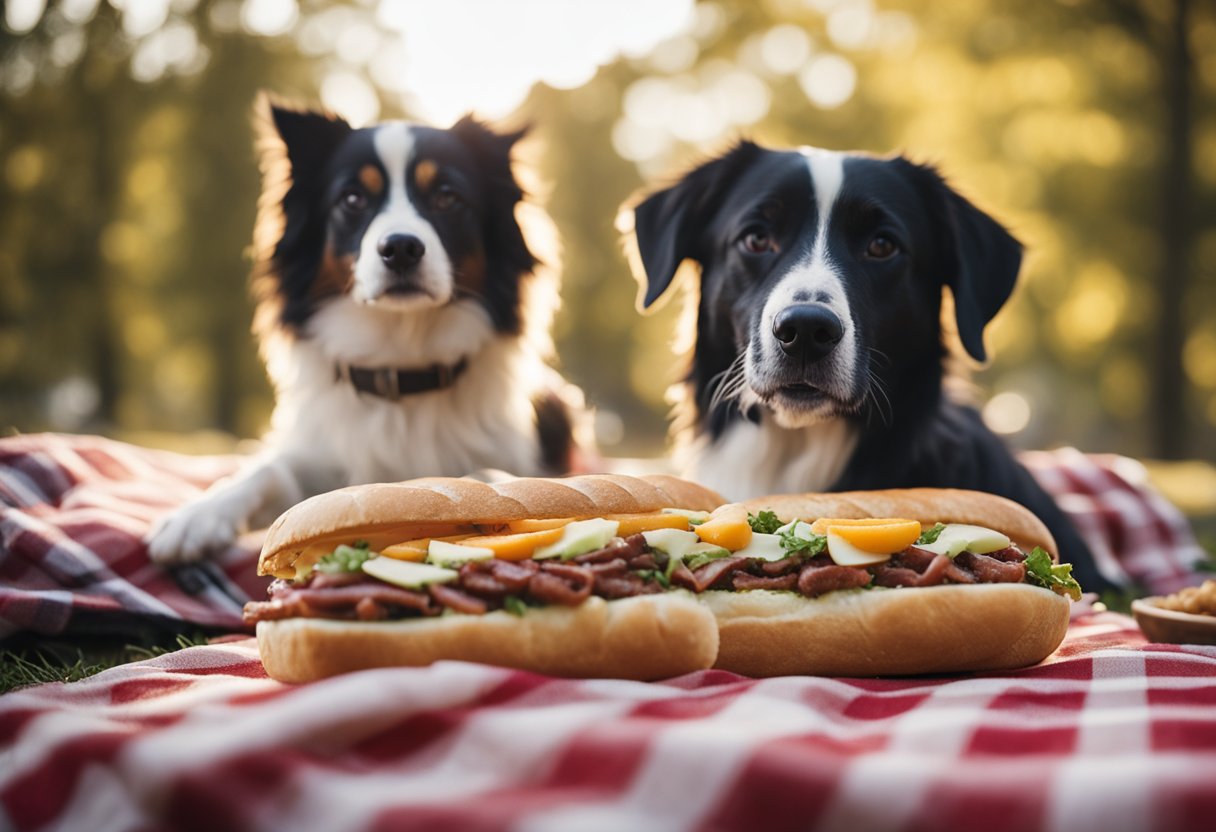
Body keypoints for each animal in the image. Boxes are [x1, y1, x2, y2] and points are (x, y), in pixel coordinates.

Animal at [149, 97, 586, 564]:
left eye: (447, 197)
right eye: (353, 198)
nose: (401, 248)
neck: (401, 370)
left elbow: (490, 479)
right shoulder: (317, 451)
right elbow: (269, 468)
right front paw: (197, 515)